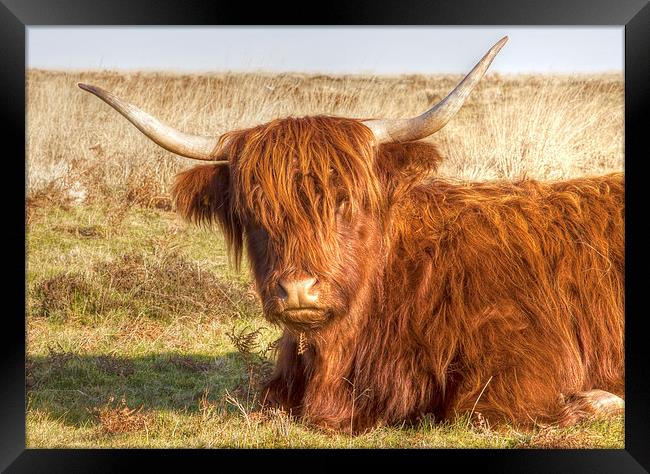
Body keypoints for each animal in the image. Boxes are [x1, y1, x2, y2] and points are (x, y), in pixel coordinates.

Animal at [79, 37, 624, 434]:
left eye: (344, 202)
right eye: (254, 214)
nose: (298, 290)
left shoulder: (528, 358)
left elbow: (478, 409)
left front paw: (601, 400)